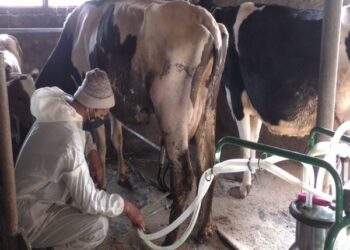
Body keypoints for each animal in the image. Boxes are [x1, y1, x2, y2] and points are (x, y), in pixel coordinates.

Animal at [34, 0, 227, 242]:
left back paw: (170, 238)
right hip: (207, 115)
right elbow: (117, 138)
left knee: (184, 179)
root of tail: (204, 17)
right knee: (208, 165)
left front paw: (102, 182)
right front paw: (124, 176)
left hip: (173, 117)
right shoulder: (114, 105)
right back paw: (204, 229)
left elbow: (101, 143)